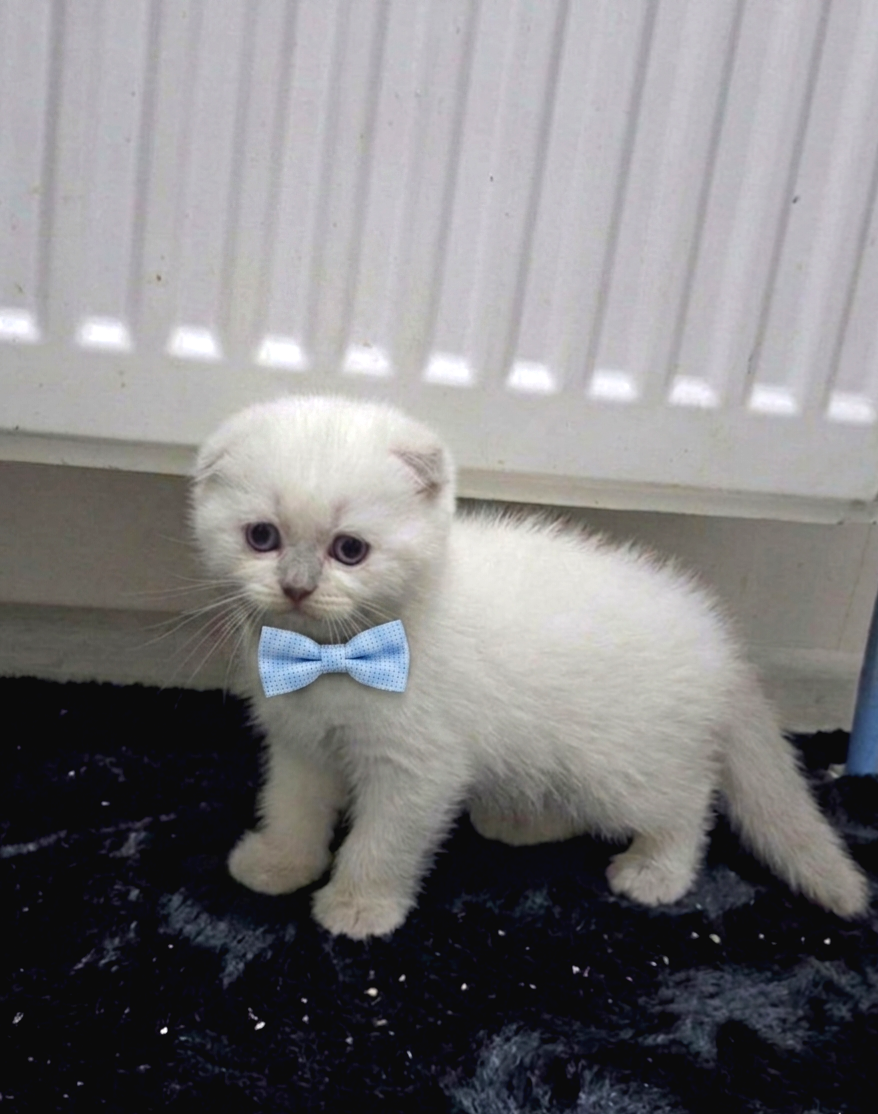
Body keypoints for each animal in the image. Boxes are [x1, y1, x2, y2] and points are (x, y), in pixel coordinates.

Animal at [191, 394, 869, 939]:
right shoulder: (299, 744)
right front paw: (280, 863)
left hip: (621, 762)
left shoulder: (417, 767)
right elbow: (292, 806)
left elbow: (383, 840)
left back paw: (658, 870)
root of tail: (720, 644)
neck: (332, 659)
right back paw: (518, 821)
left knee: (687, 799)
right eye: (261, 537)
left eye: (350, 549)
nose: (297, 586)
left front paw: (360, 906)